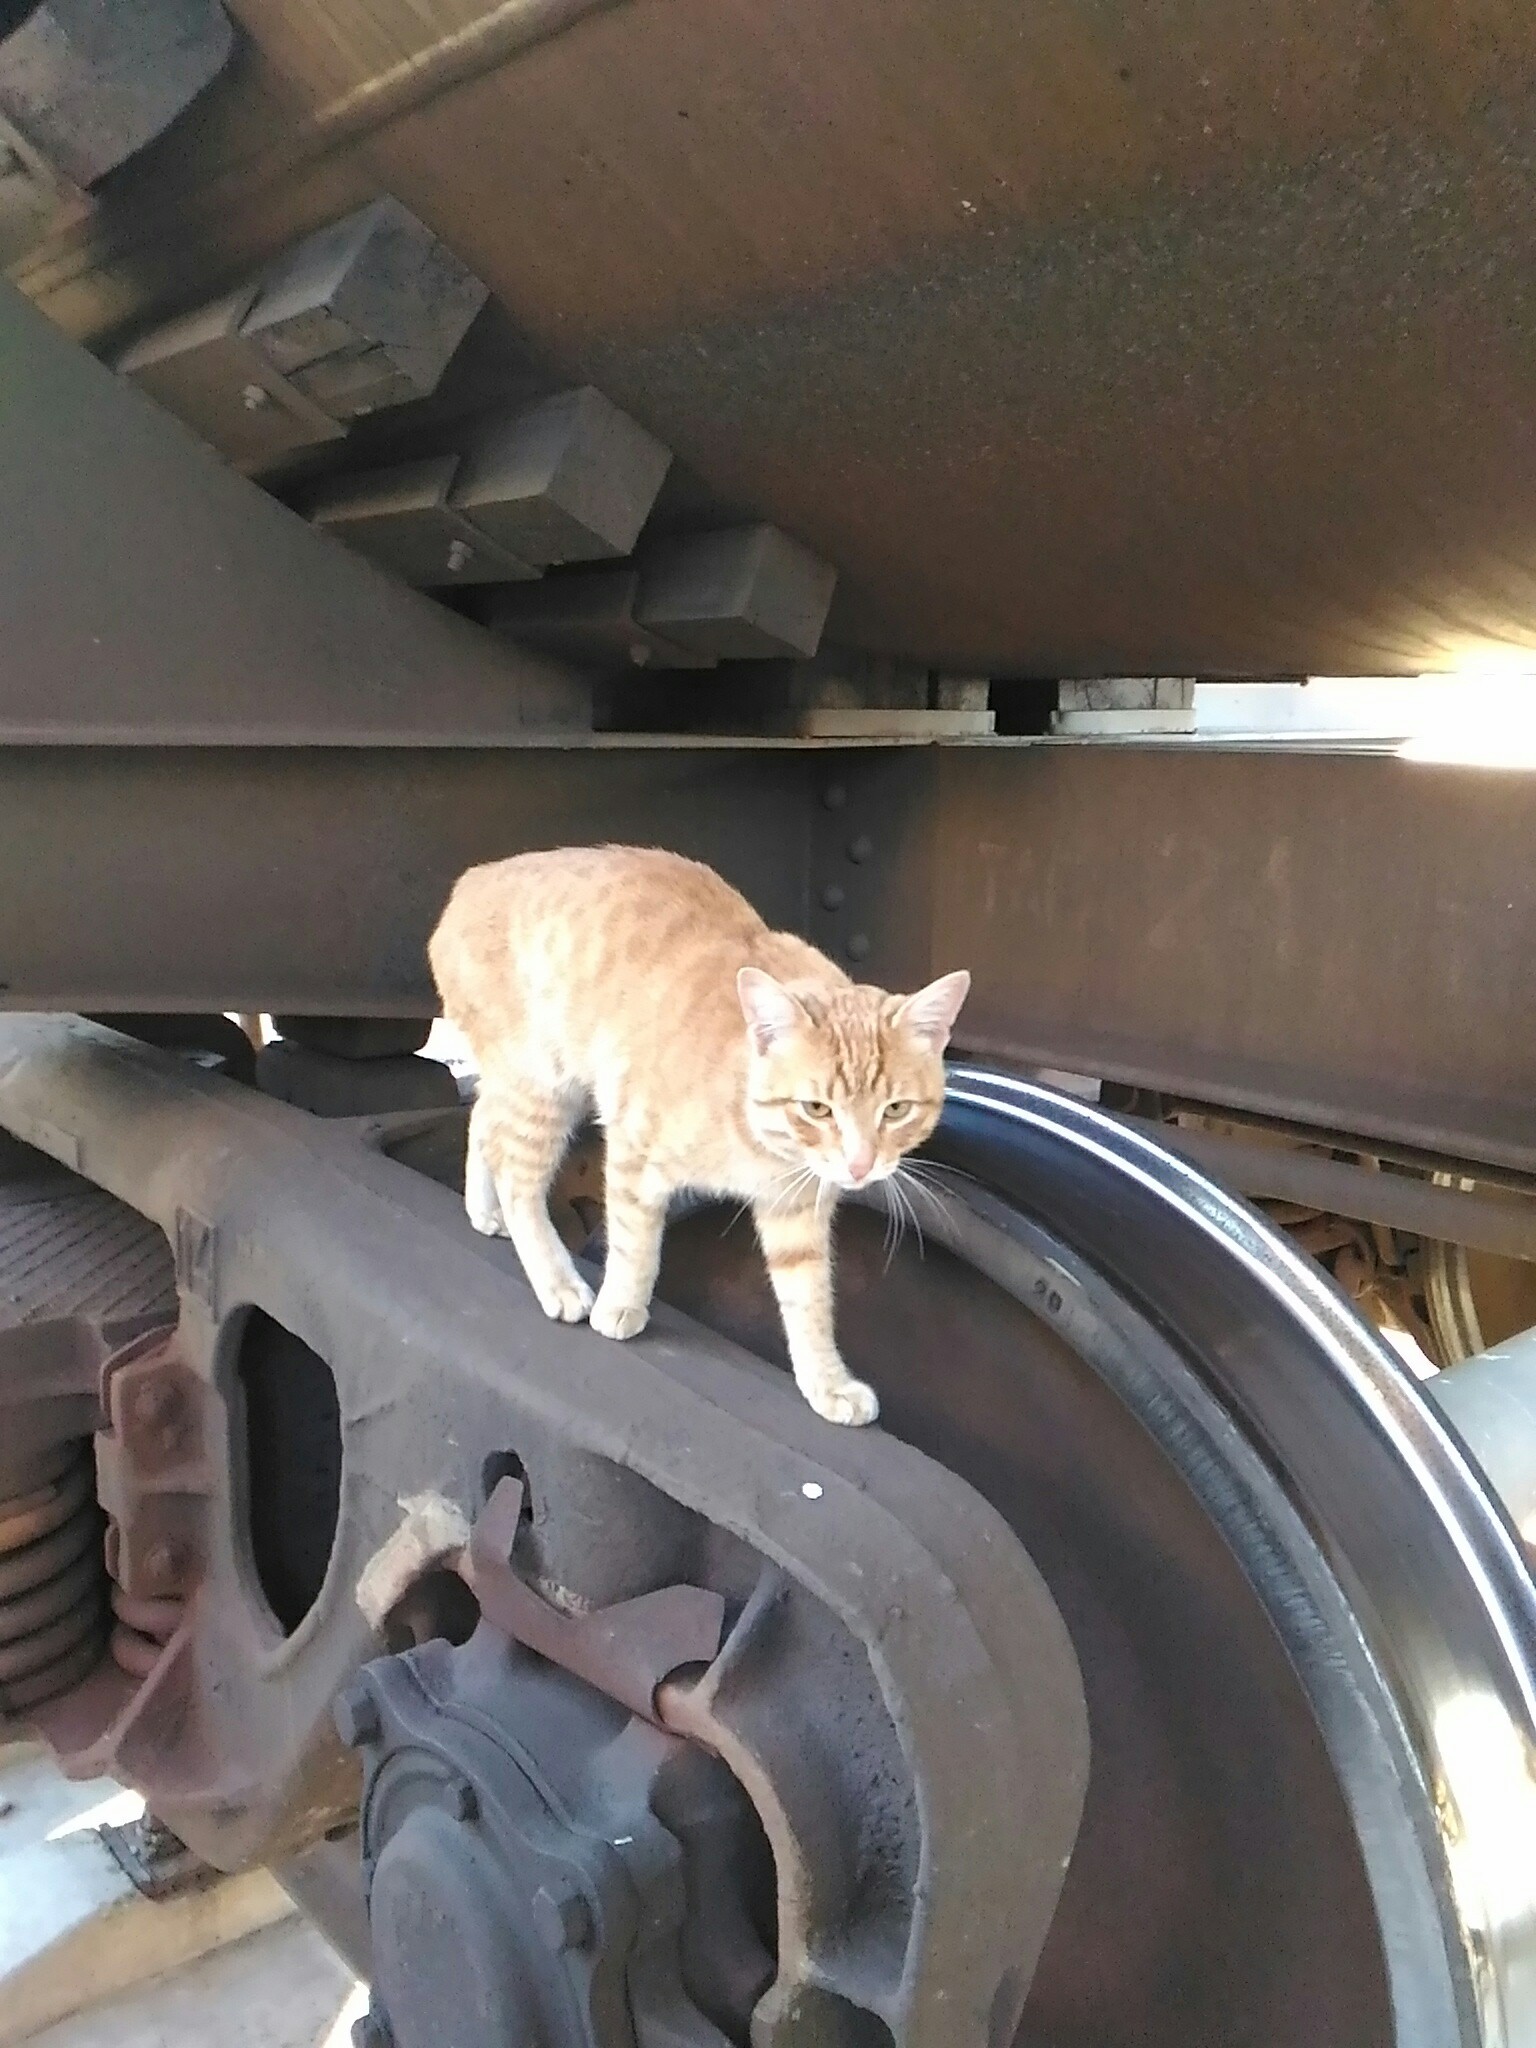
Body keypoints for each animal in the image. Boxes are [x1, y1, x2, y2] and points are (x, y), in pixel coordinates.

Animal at [428, 847, 966, 1425]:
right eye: (817, 1108)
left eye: (896, 1110)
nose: (860, 1166)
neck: (761, 1142)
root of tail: (475, 877)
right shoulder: (633, 1151)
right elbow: (636, 1246)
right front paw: (621, 1305)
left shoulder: (796, 1211)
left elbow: (810, 1303)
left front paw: (827, 1383)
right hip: (543, 1085)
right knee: (518, 1179)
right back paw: (557, 1280)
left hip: (530, 1083)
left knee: (484, 1118)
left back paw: (483, 1210)